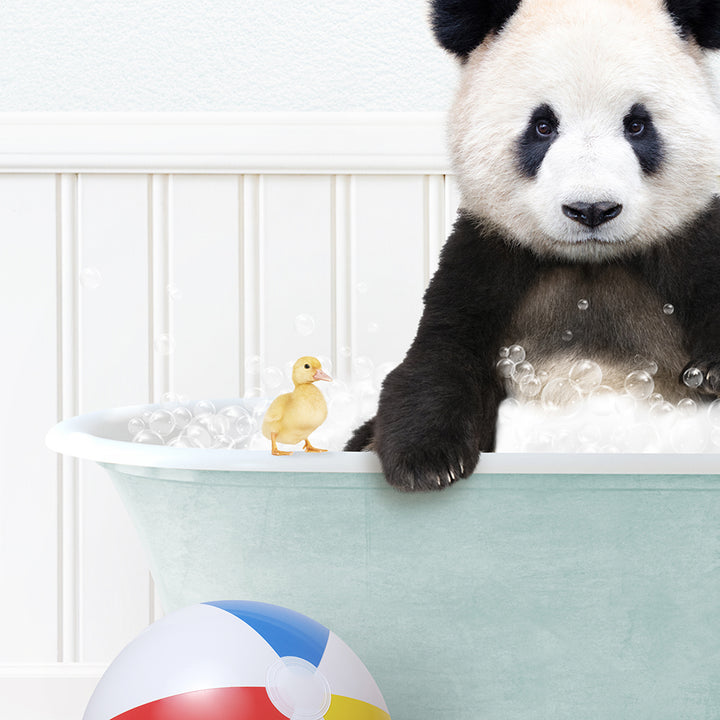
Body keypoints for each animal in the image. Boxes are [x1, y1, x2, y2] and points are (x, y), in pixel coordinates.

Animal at [344, 0, 720, 490]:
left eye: (637, 125)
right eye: (543, 126)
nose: (592, 209)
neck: (590, 263)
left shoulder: (691, 241)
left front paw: (711, 373)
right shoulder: (488, 255)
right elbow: (442, 353)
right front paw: (427, 462)